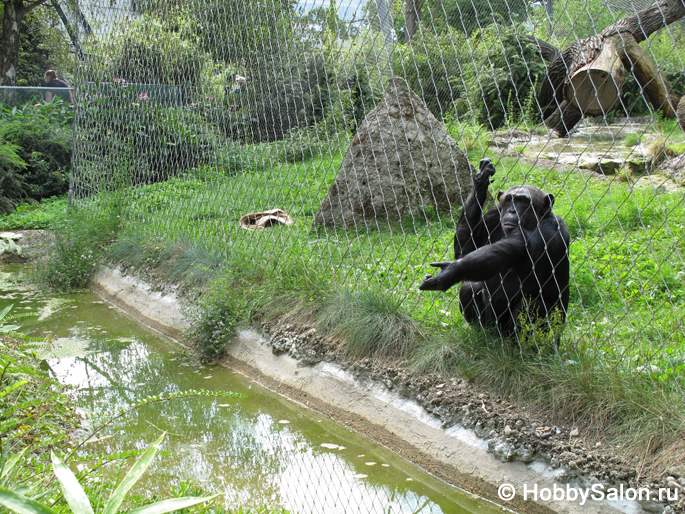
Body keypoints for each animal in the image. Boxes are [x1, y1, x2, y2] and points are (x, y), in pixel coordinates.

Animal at [416, 158, 572, 338]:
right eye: (510, 199)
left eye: (524, 202)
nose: (512, 210)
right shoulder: (495, 213)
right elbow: (466, 251)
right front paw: (481, 181)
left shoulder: (549, 230)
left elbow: (514, 248)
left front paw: (450, 272)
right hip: (492, 326)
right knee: (469, 287)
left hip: (551, 331)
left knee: (532, 304)